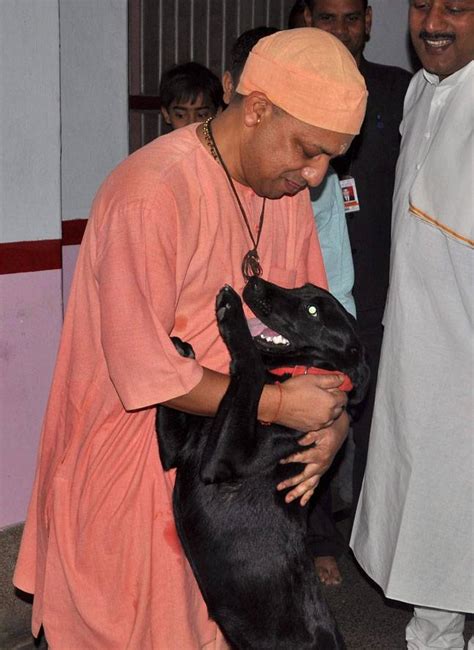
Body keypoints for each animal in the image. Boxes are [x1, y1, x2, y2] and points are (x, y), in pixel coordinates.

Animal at [159, 278, 370, 648]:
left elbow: (251, 368)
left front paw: (232, 316)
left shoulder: (222, 462)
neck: (291, 375)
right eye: (302, 287)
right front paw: (182, 350)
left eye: (312, 311)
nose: (254, 282)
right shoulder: (176, 452)